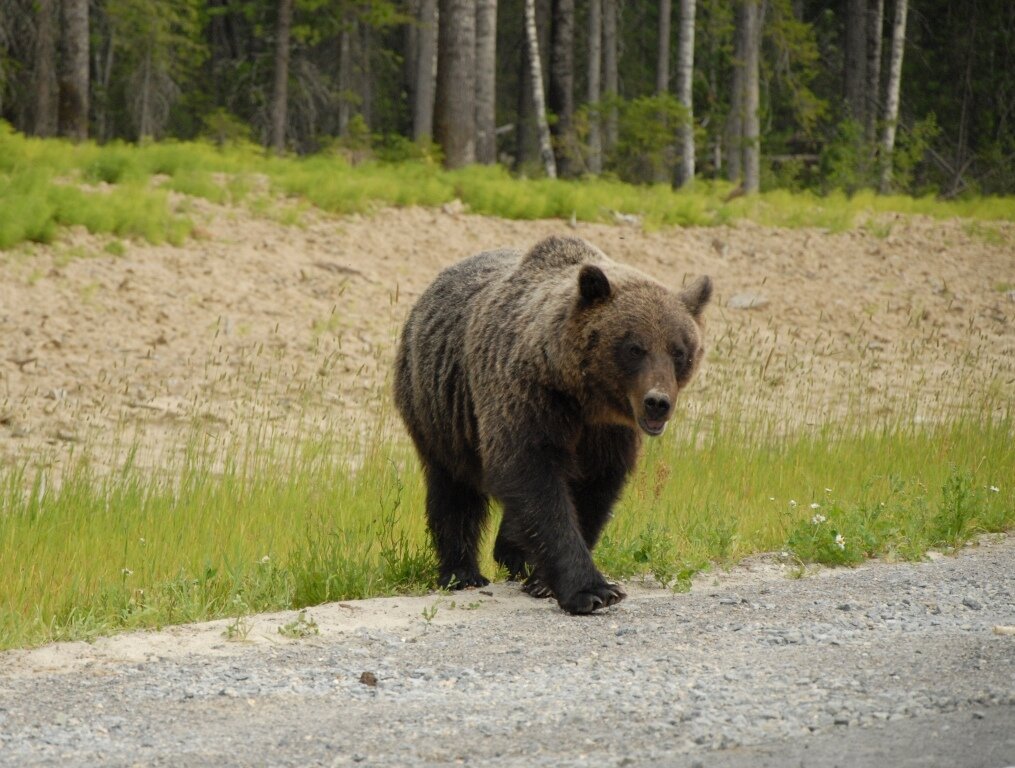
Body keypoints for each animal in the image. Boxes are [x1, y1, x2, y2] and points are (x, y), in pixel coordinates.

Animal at [391, 236, 710, 612]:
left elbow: (592, 491)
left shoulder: (606, 433)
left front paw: (544, 581)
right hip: (439, 407)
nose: (657, 402)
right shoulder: (527, 399)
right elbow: (535, 481)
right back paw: (462, 572)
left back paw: (512, 554)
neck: (581, 395)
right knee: (453, 490)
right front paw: (592, 590)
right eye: (635, 347)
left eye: (680, 351)